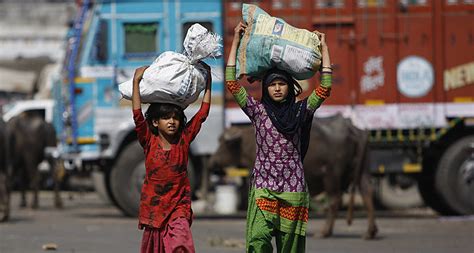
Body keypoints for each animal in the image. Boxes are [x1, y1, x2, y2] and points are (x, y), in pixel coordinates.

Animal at [209, 114, 380, 239]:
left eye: (224, 143)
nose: (212, 162)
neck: (247, 143)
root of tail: (354, 129)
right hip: (363, 171)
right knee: (367, 193)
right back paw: (370, 232)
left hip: (332, 175)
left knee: (334, 200)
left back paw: (324, 232)